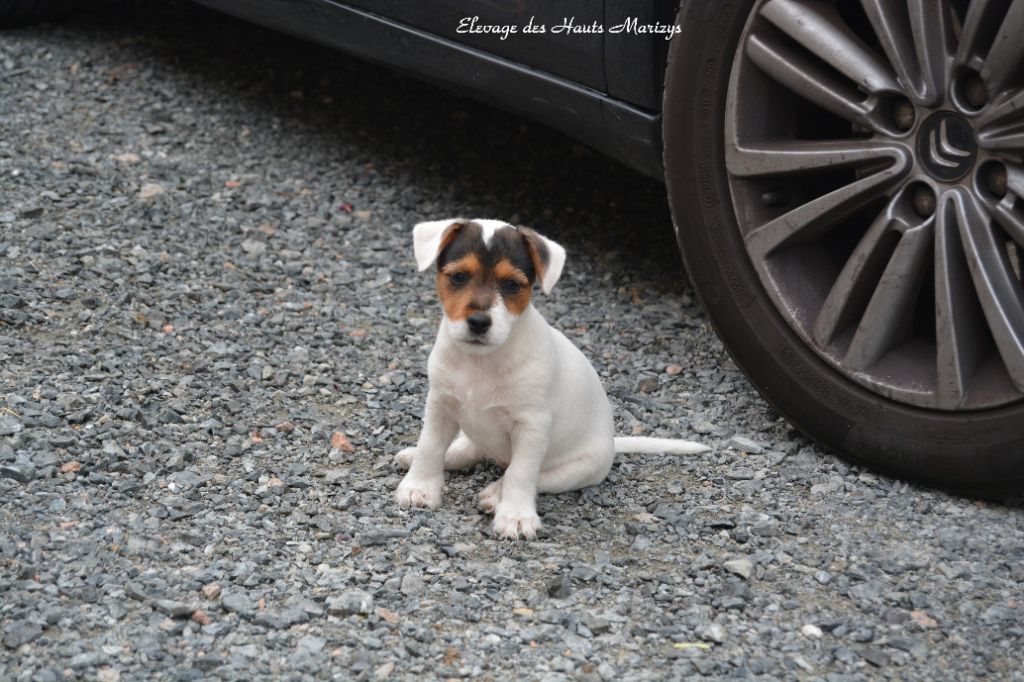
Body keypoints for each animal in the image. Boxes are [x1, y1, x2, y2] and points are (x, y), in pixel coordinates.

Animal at [394, 219, 709, 540]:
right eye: (458, 277)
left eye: (511, 285)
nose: (479, 323)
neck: (483, 361)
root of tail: (612, 443)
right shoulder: (440, 405)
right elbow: (431, 446)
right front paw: (419, 487)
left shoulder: (531, 426)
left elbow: (521, 473)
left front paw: (515, 517)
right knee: (467, 448)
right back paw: (417, 455)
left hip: (579, 468)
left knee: (530, 476)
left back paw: (496, 494)